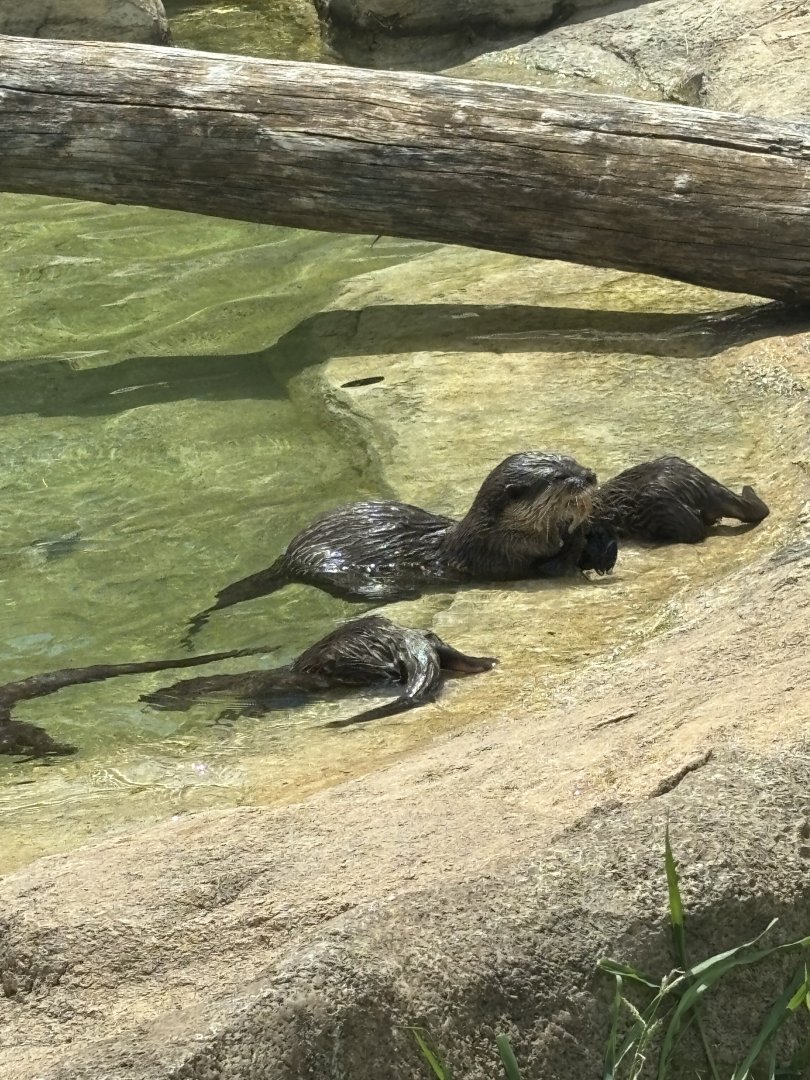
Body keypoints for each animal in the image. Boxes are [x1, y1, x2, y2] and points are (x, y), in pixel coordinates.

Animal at [144, 615, 496, 727]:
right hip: (426, 639)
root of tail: (407, 643)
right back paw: (486, 661)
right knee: (439, 644)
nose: (145, 698)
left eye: (161, 696)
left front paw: (228, 717)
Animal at [184, 451, 618, 642]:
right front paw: (580, 531)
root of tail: (290, 553)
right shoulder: (499, 558)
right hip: (328, 564)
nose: (591, 474)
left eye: (572, 459)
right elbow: (550, 565)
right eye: (561, 477)